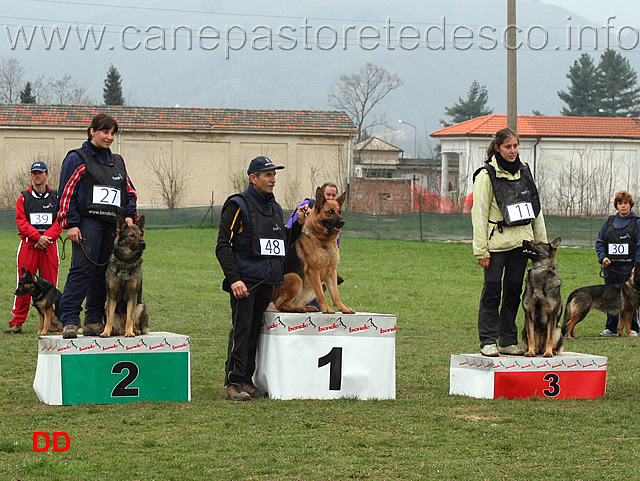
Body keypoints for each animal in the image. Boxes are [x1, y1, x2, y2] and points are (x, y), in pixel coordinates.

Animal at [272, 186, 356, 314]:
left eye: (339, 212)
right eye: (330, 212)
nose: (342, 222)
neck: (324, 242)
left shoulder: (332, 271)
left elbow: (336, 295)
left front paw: (343, 308)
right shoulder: (314, 271)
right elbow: (321, 294)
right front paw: (326, 309)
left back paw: (307, 307)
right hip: (295, 278)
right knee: (282, 306)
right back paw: (300, 309)